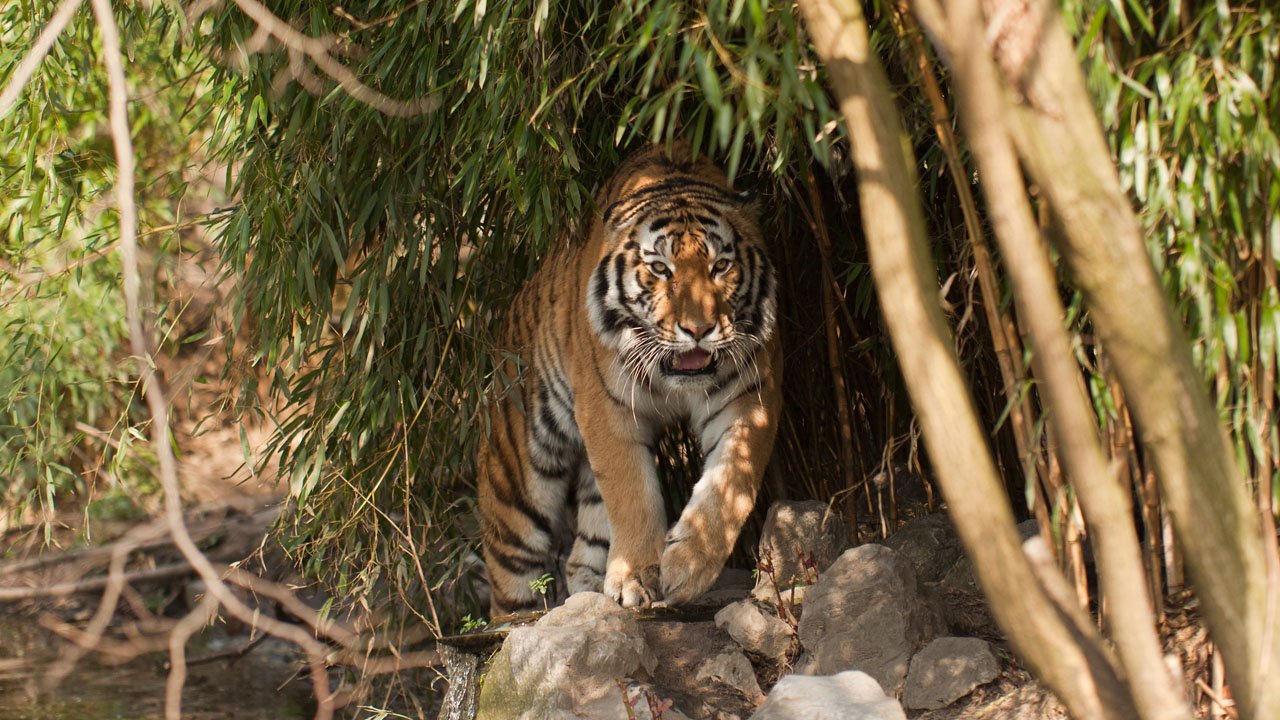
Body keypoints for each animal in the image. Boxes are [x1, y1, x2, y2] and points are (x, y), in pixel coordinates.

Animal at [478, 142, 778, 614]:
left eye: (720, 266)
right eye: (660, 269)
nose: (698, 329)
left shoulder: (748, 398)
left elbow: (730, 486)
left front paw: (688, 568)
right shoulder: (607, 407)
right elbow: (631, 491)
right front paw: (636, 576)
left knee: (581, 552)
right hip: (517, 485)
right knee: (513, 579)